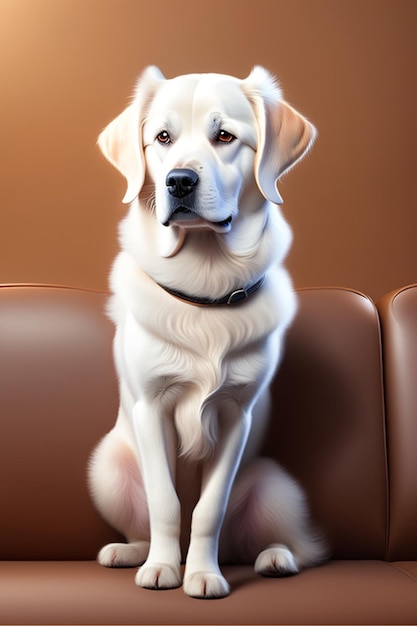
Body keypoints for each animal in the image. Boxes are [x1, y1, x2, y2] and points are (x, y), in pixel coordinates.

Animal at [88, 66, 324, 596]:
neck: (205, 285)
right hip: (108, 465)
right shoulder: (151, 408)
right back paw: (129, 553)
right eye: (162, 138)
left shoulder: (237, 414)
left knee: (284, 545)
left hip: (274, 484)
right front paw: (162, 568)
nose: (179, 181)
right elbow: (167, 503)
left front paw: (201, 574)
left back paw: (275, 557)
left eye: (225, 137)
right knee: (141, 522)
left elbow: (207, 509)